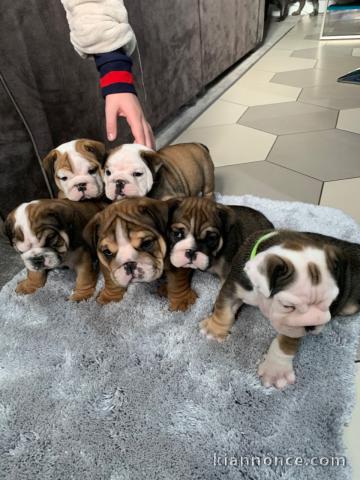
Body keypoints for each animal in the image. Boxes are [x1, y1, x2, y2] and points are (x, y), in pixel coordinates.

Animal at [200, 230, 360, 390]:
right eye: (287, 306)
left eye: (331, 303)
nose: (311, 326)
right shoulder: (236, 285)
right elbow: (224, 308)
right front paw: (214, 330)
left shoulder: (293, 325)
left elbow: (286, 341)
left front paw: (276, 370)